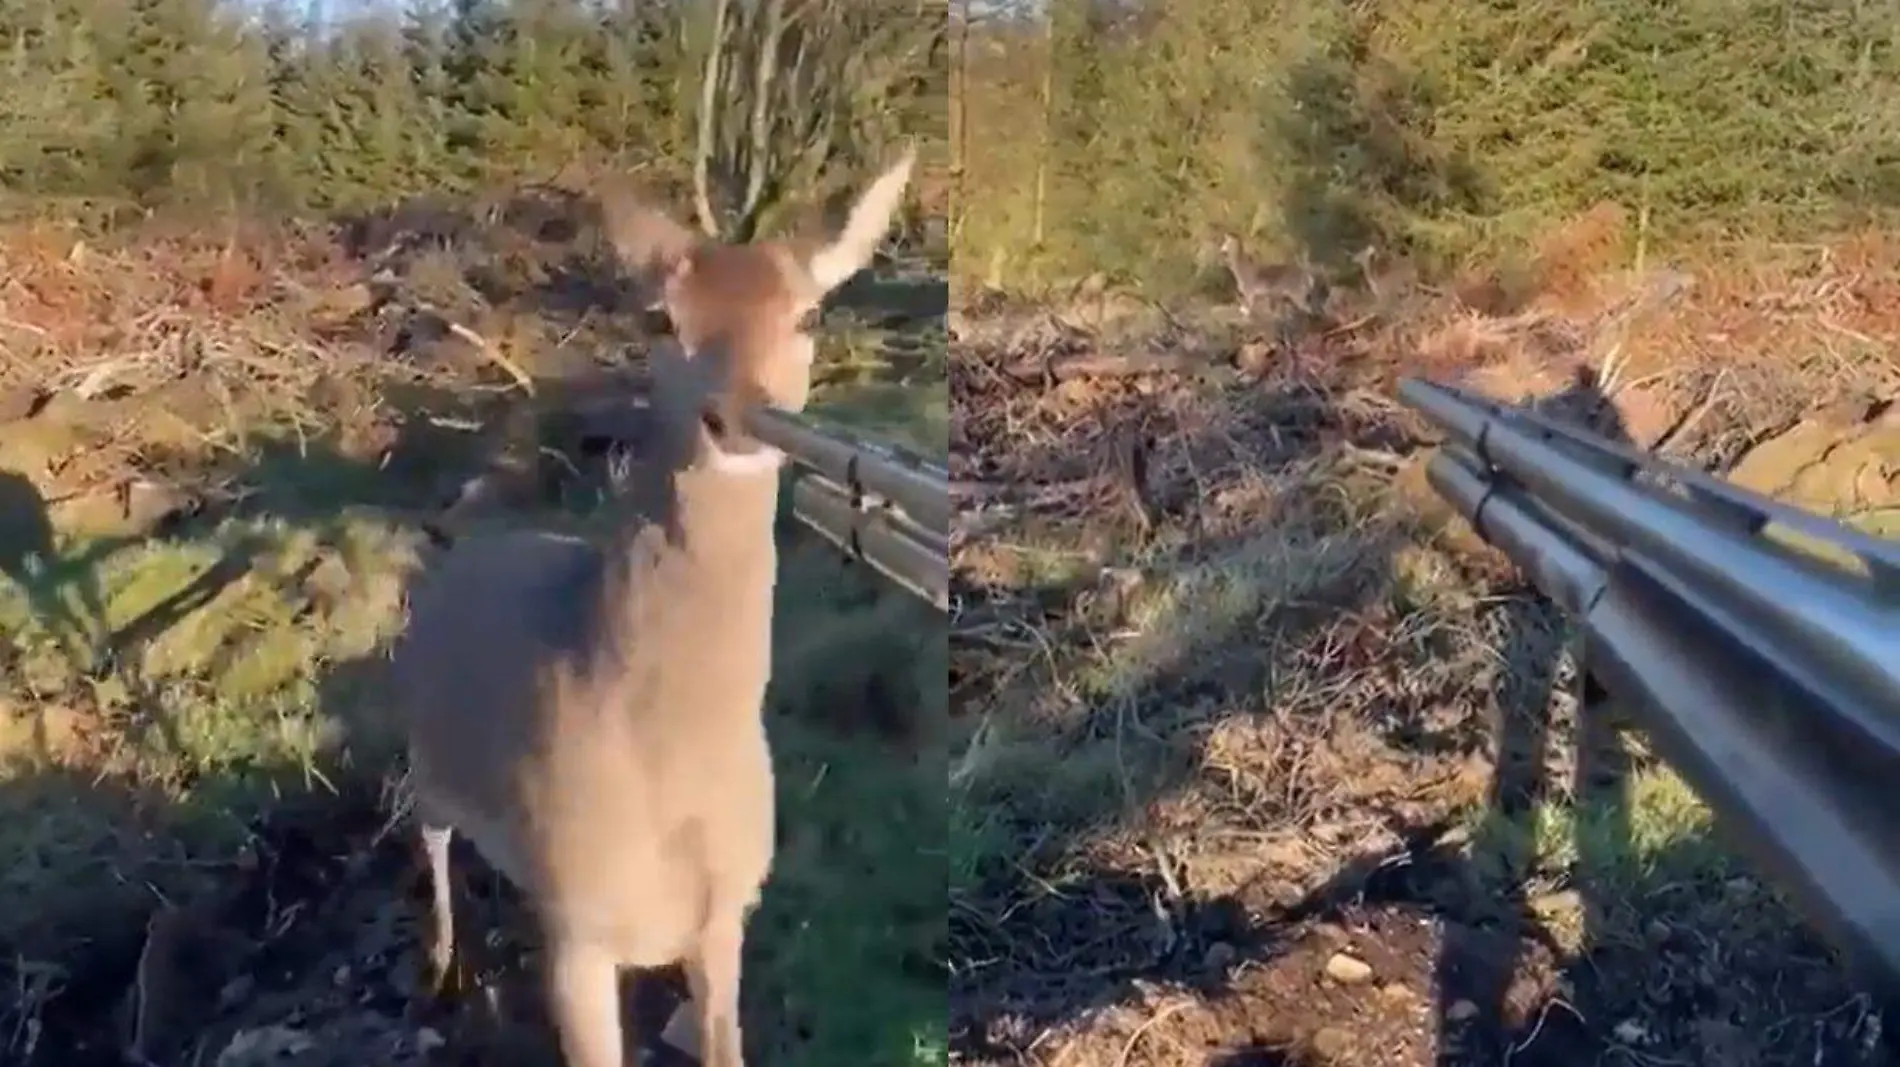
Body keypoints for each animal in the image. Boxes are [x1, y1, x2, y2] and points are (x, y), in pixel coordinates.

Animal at [389, 143, 915, 1063]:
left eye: (810, 313)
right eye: (663, 321)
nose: (735, 415)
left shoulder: (728, 915)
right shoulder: (579, 932)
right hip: (426, 751)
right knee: (434, 839)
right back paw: (443, 965)